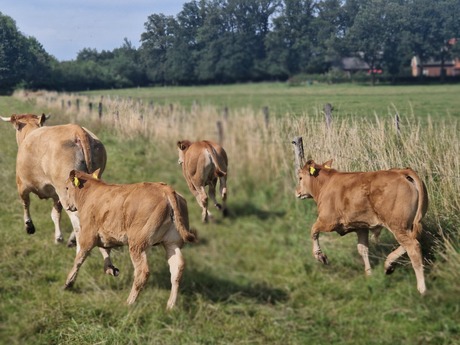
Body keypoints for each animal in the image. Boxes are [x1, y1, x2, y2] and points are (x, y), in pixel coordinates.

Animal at [62, 168, 197, 308]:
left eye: (66, 187)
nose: (67, 205)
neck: (90, 193)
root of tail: (166, 189)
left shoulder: (88, 235)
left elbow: (79, 259)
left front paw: (68, 283)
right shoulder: (103, 235)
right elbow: (104, 250)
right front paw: (110, 269)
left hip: (138, 244)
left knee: (142, 272)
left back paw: (129, 303)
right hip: (171, 243)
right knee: (177, 269)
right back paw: (170, 305)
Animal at [296, 160, 430, 294]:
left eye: (300, 177)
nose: (297, 192)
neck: (325, 184)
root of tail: (401, 171)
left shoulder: (327, 221)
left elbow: (313, 231)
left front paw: (320, 256)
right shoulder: (361, 227)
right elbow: (363, 249)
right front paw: (369, 274)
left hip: (397, 225)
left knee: (413, 247)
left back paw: (422, 289)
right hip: (407, 226)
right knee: (412, 241)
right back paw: (388, 264)